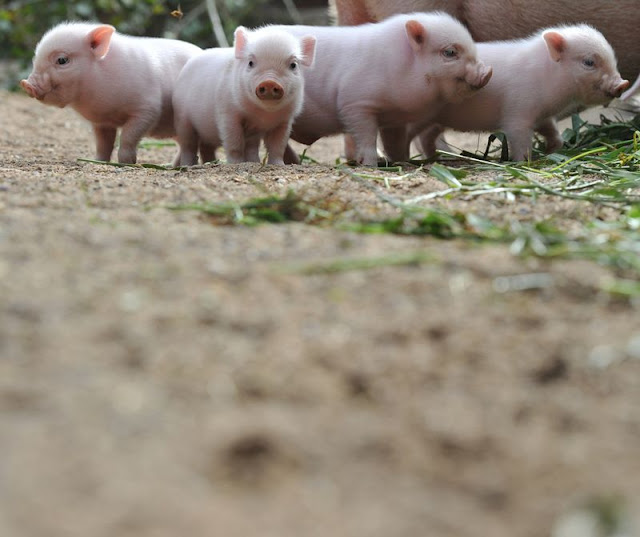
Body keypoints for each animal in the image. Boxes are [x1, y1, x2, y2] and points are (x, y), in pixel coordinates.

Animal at [20, 22, 201, 164]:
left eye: (62, 60)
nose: (26, 84)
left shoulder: (148, 109)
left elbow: (127, 136)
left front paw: (126, 163)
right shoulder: (101, 122)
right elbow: (103, 144)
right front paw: (98, 161)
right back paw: (172, 166)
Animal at [172, 26, 316, 166]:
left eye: (293, 65)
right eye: (250, 63)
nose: (269, 82)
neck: (264, 115)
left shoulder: (284, 121)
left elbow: (277, 146)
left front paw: (279, 165)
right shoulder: (228, 114)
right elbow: (234, 142)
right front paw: (236, 164)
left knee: (211, 147)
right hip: (183, 119)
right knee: (188, 146)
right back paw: (187, 166)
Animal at [273, 12, 492, 166]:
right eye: (450, 52)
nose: (487, 71)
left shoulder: (395, 118)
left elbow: (395, 143)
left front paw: (401, 161)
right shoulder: (355, 103)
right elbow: (367, 136)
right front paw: (371, 164)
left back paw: (294, 162)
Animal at [408, 25, 629, 162]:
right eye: (589, 62)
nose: (623, 84)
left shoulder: (543, 115)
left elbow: (553, 132)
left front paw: (552, 150)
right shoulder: (518, 113)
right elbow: (520, 138)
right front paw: (524, 161)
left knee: (425, 137)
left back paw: (439, 157)